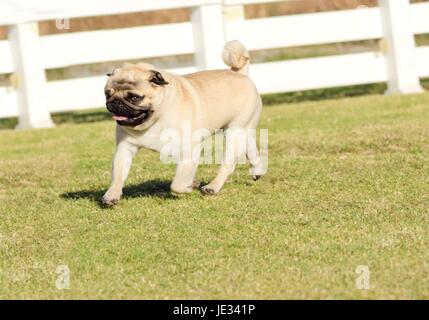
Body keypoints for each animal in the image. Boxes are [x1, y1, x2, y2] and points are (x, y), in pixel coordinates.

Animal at [102, 40, 266, 205]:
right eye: (107, 94)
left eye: (135, 97)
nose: (115, 102)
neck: (156, 118)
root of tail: (239, 73)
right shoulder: (124, 149)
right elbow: (118, 174)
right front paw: (112, 194)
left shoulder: (189, 149)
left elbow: (177, 184)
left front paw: (188, 187)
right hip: (242, 130)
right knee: (251, 148)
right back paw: (257, 171)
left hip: (235, 132)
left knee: (228, 164)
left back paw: (212, 187)